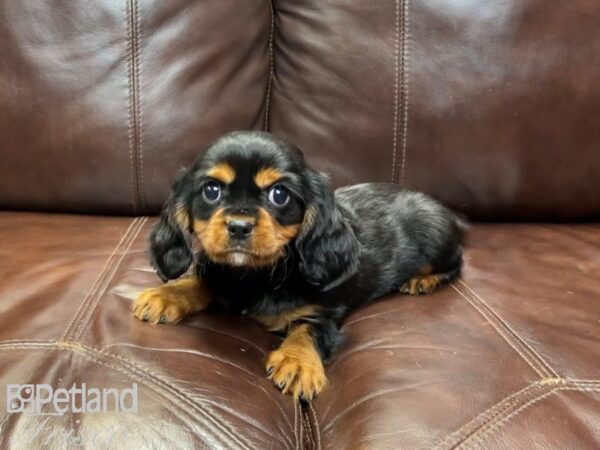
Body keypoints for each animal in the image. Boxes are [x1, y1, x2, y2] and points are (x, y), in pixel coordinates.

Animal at [134, 130, 466, 400]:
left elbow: (307, 329)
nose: (239, 226)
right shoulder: (221, 272)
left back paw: (421, 281)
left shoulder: (324, 312)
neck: (255, 276)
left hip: (437, 241)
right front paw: (166, 295)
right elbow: (201, 280)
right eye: (211, 190)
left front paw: (297, 362)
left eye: (279, 194)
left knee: (456, 262)